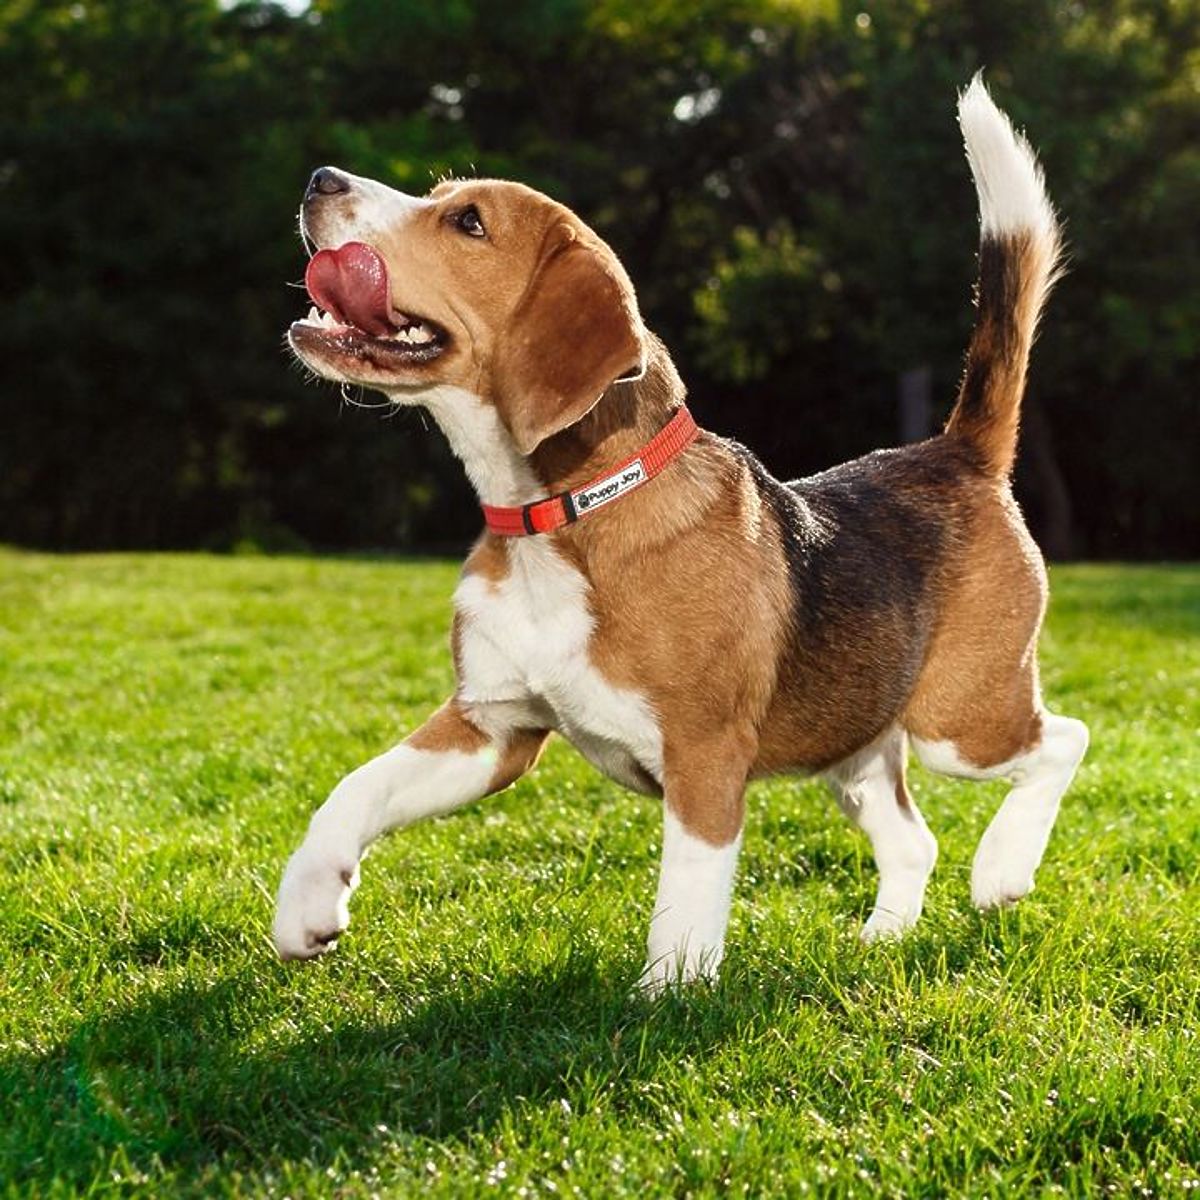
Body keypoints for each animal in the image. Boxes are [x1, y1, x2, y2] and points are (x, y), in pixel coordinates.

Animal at [273, 77, 1088, 992]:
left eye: (468, 222)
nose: (319, 178)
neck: (564, 518)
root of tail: (954, 452)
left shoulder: (704, 759)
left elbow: (685, 903)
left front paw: (668, 998)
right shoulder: (492, 727)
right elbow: (354, 788)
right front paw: (307, 905)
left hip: (962, 720)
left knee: (1065, 741)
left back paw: (1004, 868)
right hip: (854, 745)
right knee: (913, 840)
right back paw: (882, 940)